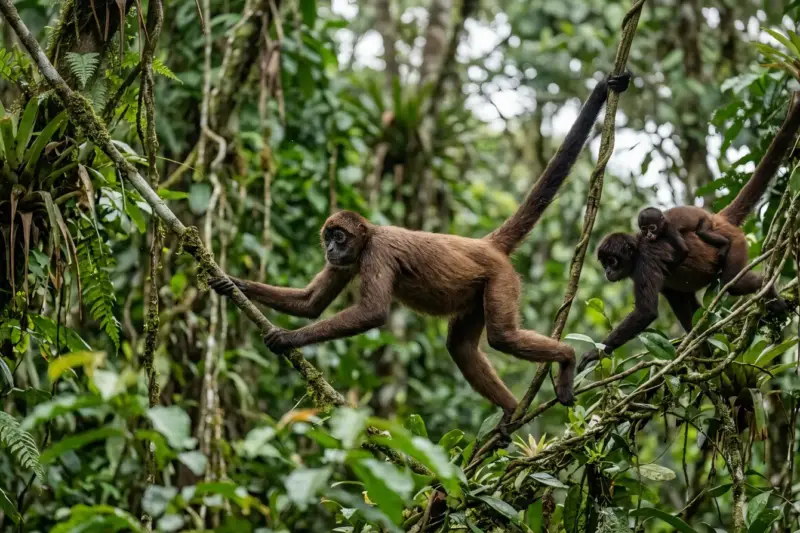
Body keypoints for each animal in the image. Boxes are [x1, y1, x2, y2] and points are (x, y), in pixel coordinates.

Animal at [210, 73, 631, 413]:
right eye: (328, 238)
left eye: (339, 236)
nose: (330, 249)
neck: (370, 236)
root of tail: (485, 245)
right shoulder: (351, 260)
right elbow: (311, 304)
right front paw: (230, 283)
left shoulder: (375, 254)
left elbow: (372, 313)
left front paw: (286, 338)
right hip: (477, 292)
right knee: (460, 347)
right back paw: (511, 415)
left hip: (501, 279)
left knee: (503, 337)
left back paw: (565, 359)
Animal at [577, 92, 800, 372]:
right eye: (605, 263)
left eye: (613, 261)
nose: (608, 271)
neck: (638, 248)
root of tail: (717, 219)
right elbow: (684, 305)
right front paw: (701, 353)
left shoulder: (646, 261)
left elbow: (646, 312)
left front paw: (594, 353)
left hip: (736, 243)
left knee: (733, 283)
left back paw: (768, 291)